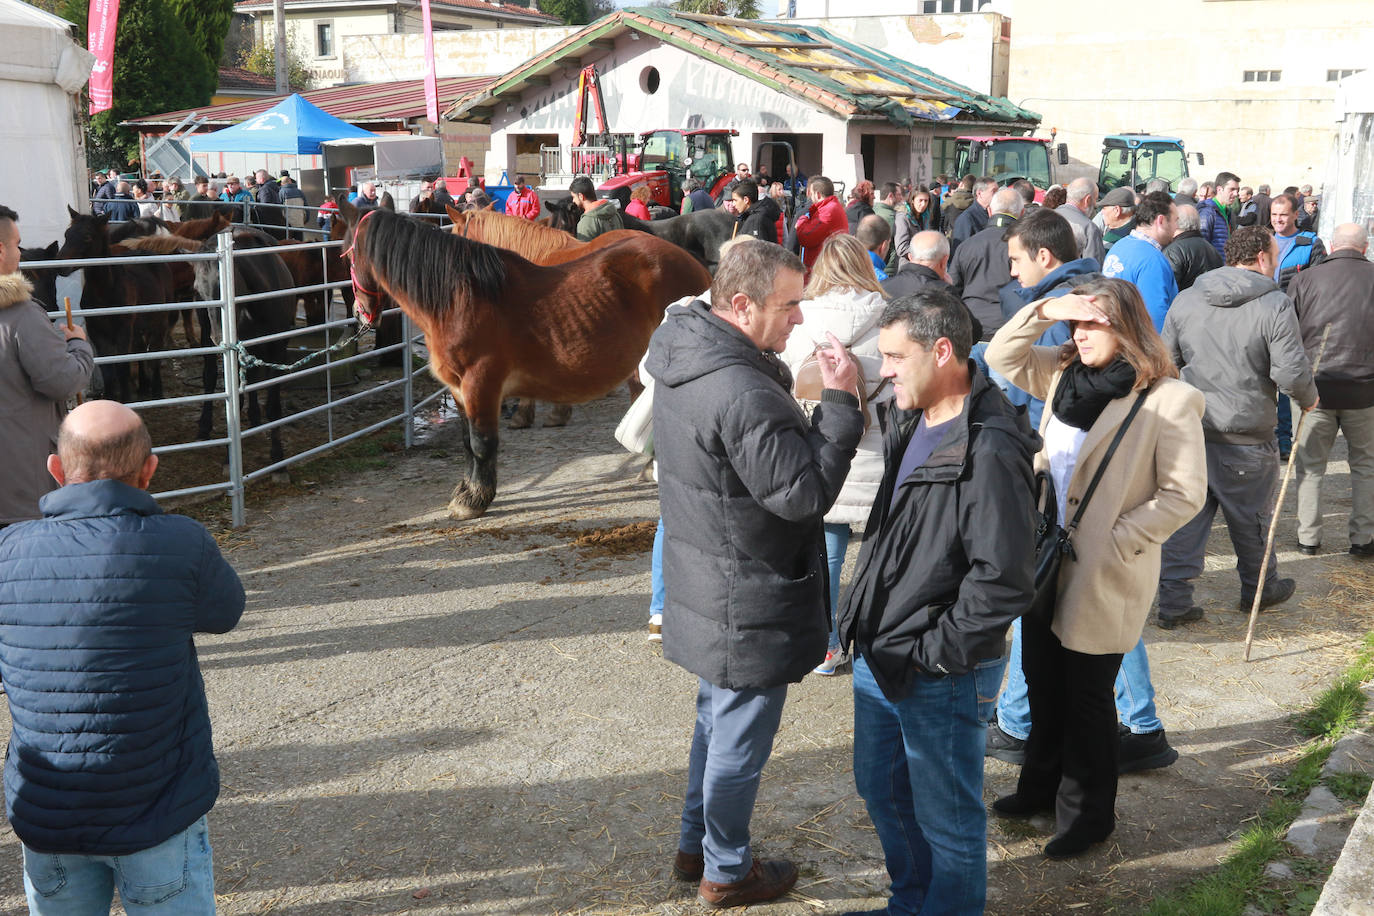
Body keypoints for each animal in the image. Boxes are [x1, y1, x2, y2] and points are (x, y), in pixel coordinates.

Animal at [338, 197, 714, 519]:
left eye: (345, 256)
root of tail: (697, 267)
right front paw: (465, 491)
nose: (361, 313)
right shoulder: (459, 390)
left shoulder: (481, 383)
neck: (459, 298)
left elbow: (482, 442)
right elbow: (466, 442)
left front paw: (475, 499)